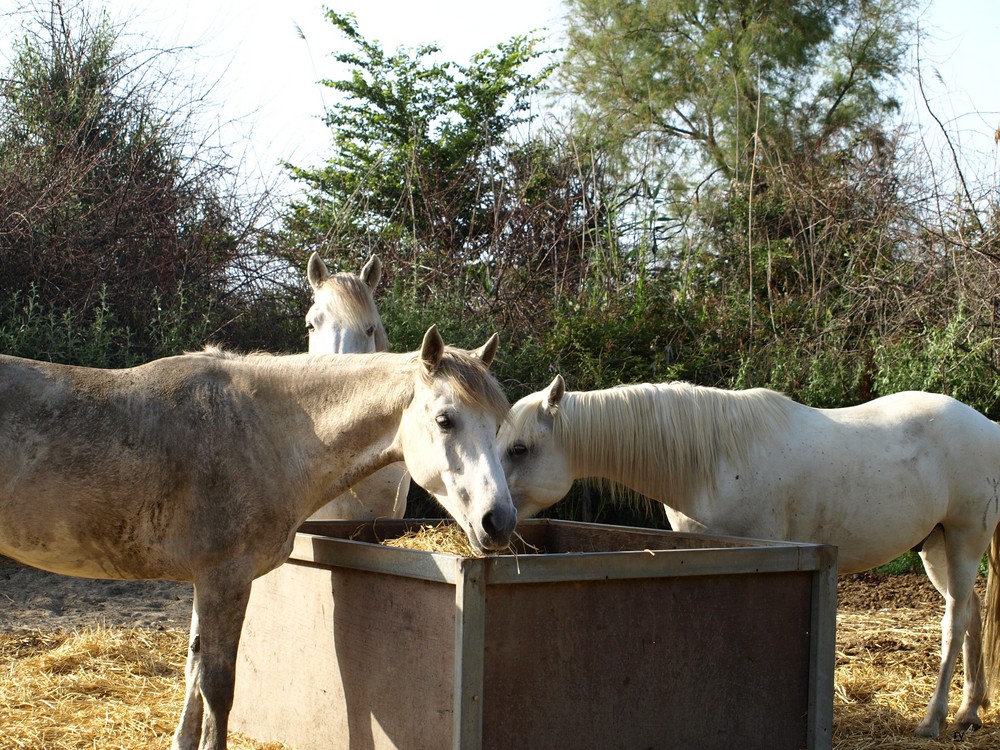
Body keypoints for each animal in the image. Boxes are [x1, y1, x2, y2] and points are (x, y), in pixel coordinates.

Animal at [0, 328, 516, 750]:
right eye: (446, 419)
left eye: (497, 423)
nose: (499, 521)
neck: (261, 433)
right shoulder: (225, 578)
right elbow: (217, 686)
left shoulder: (207, 581)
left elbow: (193, 671)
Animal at [500, 376, 1000, 740]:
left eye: (519, 448)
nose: (493, 519)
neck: (711, 462)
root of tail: (989, 427)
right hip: (935, 548)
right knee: (972, 613)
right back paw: (970, 711)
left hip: (964, 539)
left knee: (954, 621)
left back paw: (934, 720)